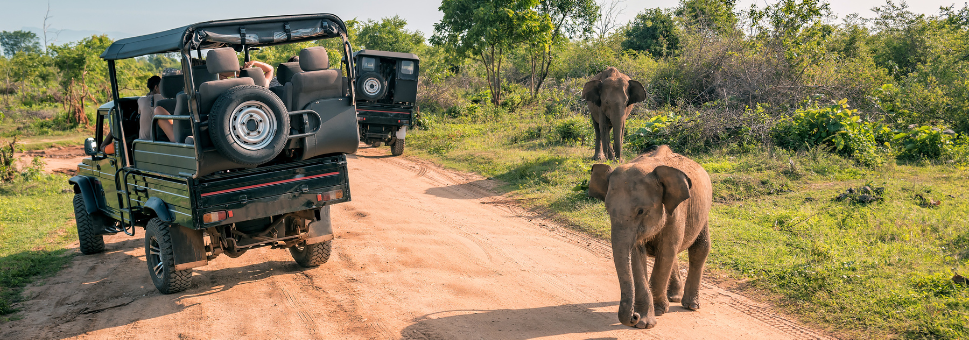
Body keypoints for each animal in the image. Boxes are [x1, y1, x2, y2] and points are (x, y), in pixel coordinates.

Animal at [588, 145, 716, 328]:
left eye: (641, 211)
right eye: (608, 210)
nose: (633, 316)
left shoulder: (677, 212)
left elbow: (666, 252)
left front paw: (658, 311)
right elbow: (637, 255)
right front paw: (644, 321)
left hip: (703, 212)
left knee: (699, 249)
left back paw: (690, 305)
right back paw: (674, 297)